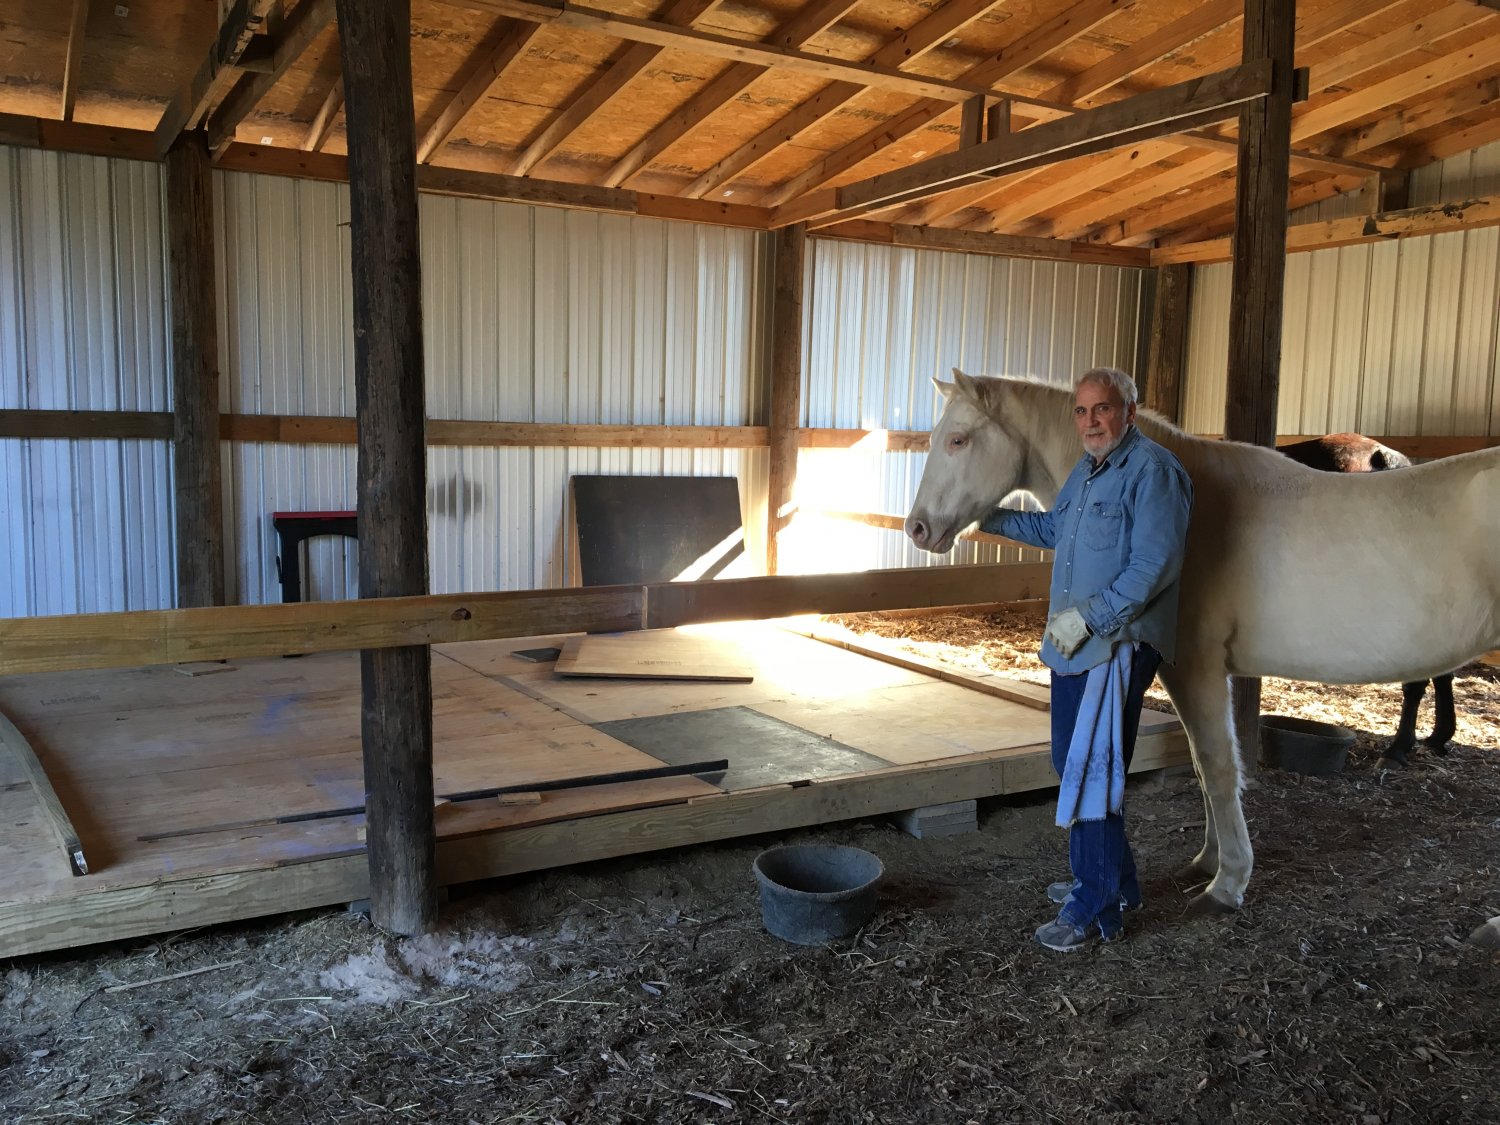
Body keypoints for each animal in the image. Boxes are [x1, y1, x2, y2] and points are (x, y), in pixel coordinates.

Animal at [900, 370, 1500, 918]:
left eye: (958, 440)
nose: (918, 528)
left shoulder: (1197, 668)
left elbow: (1217, 765)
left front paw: (1227, 884)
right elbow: (1203, 765)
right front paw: (1208, 862)